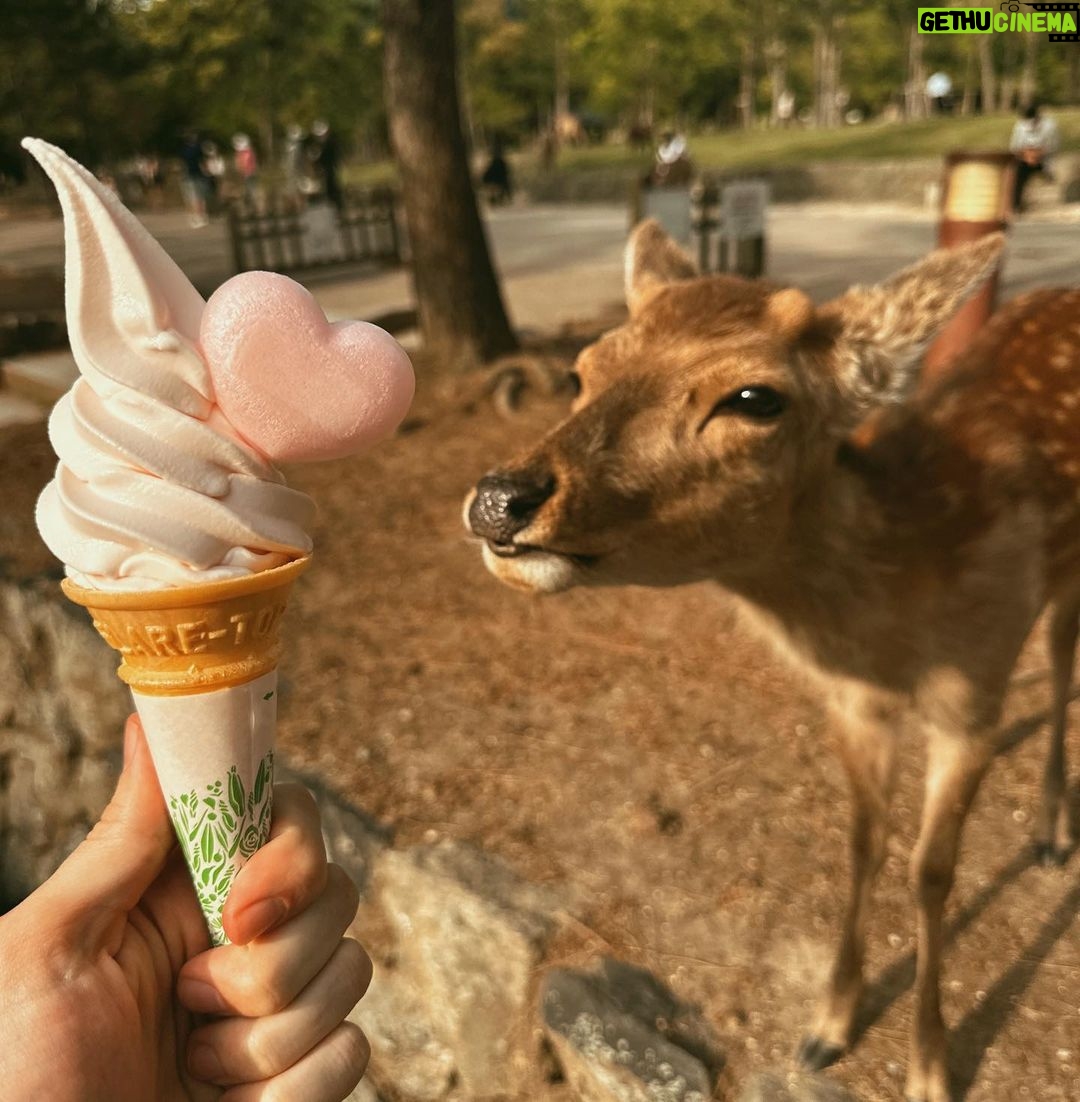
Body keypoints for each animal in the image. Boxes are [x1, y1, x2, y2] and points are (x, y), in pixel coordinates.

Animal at [463, 220, 1080, 1102]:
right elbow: (863, 843)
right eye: (584, 371)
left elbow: (932, 873)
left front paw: (931, 1066)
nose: (498, 501)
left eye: (754, 398)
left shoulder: (977, 692)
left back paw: (1052, 833)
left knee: (1062, 663)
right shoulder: (852, 704)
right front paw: (827, 1028)